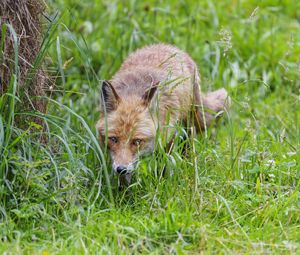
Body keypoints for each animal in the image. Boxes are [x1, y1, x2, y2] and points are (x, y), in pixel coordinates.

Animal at [96, 43, 230, 183]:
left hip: (188, 123)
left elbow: (164, 163)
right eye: (113, 139)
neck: (134, 93)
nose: (121, 169)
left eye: (137, 141)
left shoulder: (169, 134)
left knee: (187, 142)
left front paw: (161, 182)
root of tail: (168, 46)